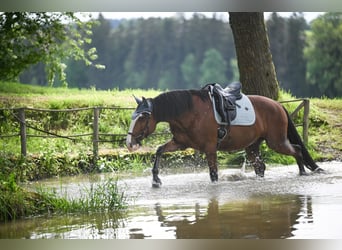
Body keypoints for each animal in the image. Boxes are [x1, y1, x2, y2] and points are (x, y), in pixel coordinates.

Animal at [125, 87, 320, 187]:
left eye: (142, 117)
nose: (129, 143)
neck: (189, 112)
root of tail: (278, 105)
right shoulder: (180, 143)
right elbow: (159, 150)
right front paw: (156, 179)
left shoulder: (210, 148)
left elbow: (213, 174)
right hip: (252, 146)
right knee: (260, 166)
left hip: (276, 142)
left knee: (297, 150)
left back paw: (303, 173)